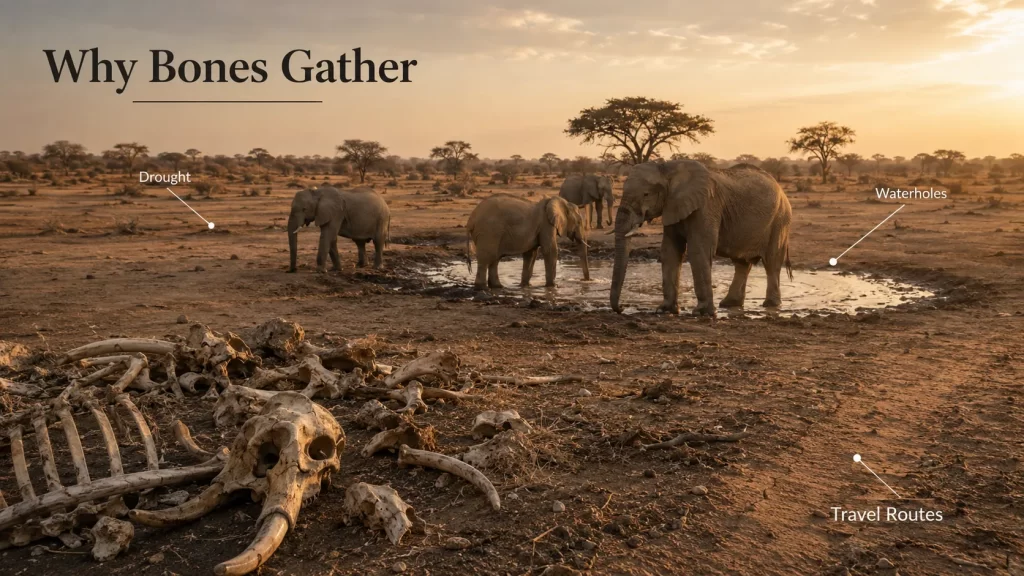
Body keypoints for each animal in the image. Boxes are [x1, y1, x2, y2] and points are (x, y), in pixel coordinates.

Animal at [610, 160, 793, 316]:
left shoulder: (706, 206)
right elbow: (670, 251)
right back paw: (730, 304)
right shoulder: (673, 206)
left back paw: (770, 305)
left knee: (771, 262)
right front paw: (664, 310)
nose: (622, 307)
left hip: (780, 220)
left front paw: (701, 313)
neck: (668, 168)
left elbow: (698, 250)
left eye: (646, 194)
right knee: (741, 263)